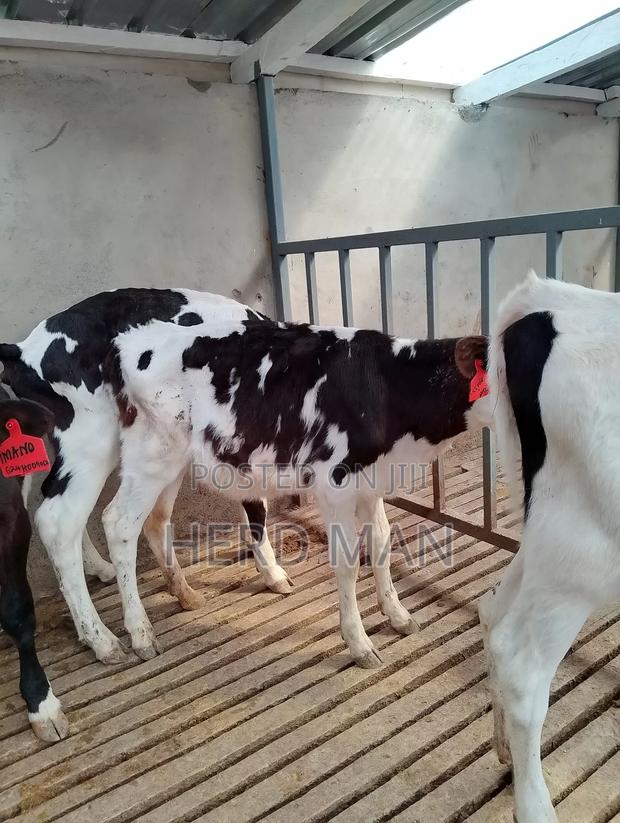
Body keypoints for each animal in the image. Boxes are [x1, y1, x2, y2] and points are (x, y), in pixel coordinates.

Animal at [0, 289, 291, 665]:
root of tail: (23, 349)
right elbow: (256, 507)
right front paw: (273, 573)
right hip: (93, 438)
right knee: (61, 521)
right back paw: (106, 639)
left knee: (62, 501)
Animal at [100, 317, 492, 667]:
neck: (388, 386)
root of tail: (126, 343)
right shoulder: (335, 483)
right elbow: (348, 561)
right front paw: (359, 642)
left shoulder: (370, 481)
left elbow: (381, 543)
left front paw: (397, 614)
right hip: (152, 454)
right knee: (118, 523)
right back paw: (134, 635)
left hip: (171, 460)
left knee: (155, 520)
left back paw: (185, 596)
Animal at [480, 270, 620, 823]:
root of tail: (543, 300)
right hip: (581, 552)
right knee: (521, 665)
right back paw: (535, 805)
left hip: (548, 535)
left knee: (494, 611)